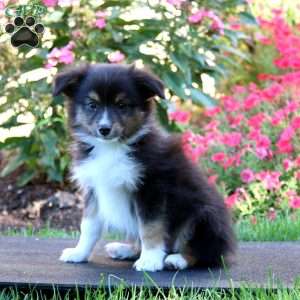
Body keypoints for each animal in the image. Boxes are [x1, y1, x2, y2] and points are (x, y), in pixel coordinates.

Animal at [54, 63, 237, 272]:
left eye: (122, 105)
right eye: (92, 105)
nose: (104, 129)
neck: (113, 147)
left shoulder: (151, 188)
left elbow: (150, 227)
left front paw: (150, 260)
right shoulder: (94, 188)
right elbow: (89, 226)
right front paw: (79, 253)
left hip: (204, 215)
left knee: (205, 252)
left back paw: (177, 259)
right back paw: (125, 249)